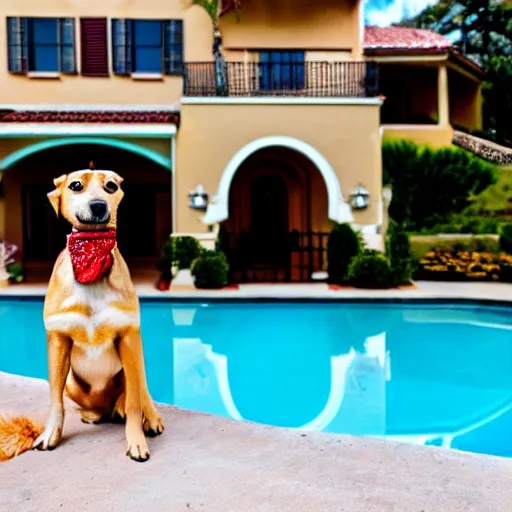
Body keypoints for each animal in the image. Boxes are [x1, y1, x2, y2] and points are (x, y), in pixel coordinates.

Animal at [0, 170, 162, 462]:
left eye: (111, 186)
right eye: (76, 185)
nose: (99, 206)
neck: (92, 257)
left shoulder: (129, 338)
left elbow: (135, 403)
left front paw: (136, 441)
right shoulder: (57, 339)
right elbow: (55, 400)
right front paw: (50, 434)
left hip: (137, 360)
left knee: (141, 393)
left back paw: (149, 418)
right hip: (73, 384)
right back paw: (94, 414)